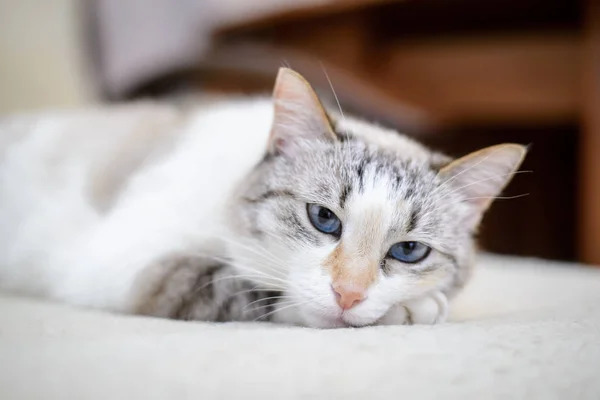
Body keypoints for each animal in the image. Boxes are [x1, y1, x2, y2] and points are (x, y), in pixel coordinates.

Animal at [0, 66, 524, 328]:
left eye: (409, 251)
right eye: (323, 219)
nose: (349, 295)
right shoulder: (122, 258)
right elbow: (245, 288)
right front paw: (410, 310)